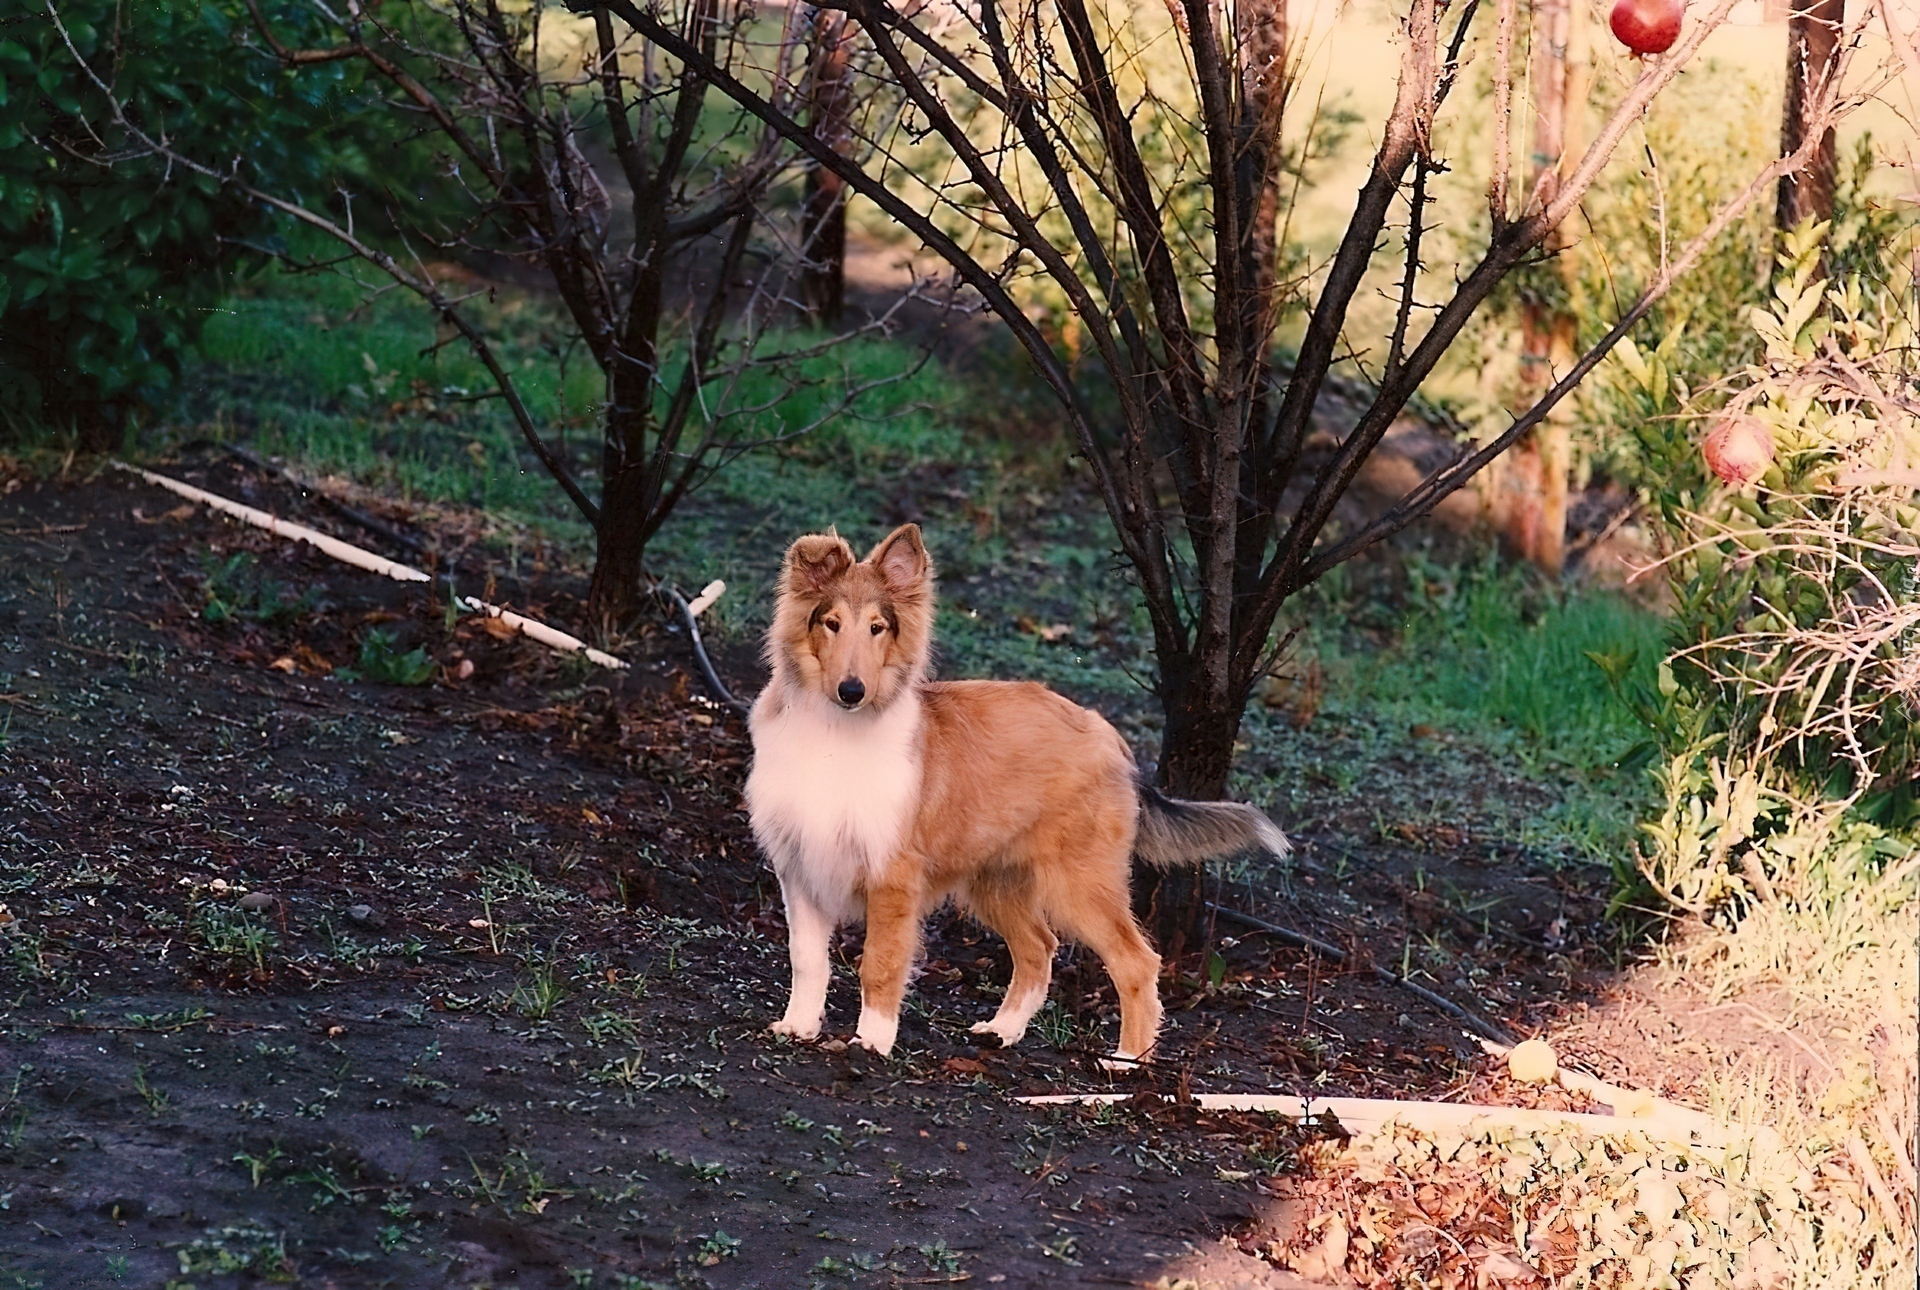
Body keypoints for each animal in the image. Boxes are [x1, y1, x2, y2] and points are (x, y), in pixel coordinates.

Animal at [748, 522, 1290, 1067]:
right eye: (831, 623)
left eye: (878, 628)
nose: (852, 691)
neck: (836, 735)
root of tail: (1107, 733)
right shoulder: (800, 868)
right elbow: (807, 960)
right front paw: (799, 1027)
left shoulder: (892, 877)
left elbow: (878, 964)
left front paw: (873, 1041)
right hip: (998, 879)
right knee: (1038, 948)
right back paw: (1002, 1030)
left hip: (1079, 881)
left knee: (1135, 960)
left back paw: (1127, 1061)